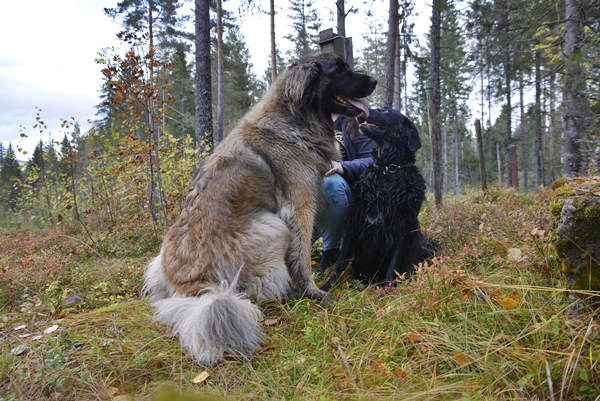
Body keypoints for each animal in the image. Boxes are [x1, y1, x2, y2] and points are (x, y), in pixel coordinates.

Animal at [142, 52, 376, 362]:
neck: (295, 119)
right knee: (257, 288)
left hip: (158, 262)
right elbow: (301, 258)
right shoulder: (298, 208)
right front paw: (313, 291)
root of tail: (191, 287)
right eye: (339, 70)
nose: (373, 81)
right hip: (271, 226)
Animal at [322, 108, 434, 290]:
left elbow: (394, 263)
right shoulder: (354, 222)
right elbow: (341, 261)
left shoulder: (403, 227)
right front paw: (328, 285)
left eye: (386, 111)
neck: (388, 170)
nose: (361, 112)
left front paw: (388, 291)